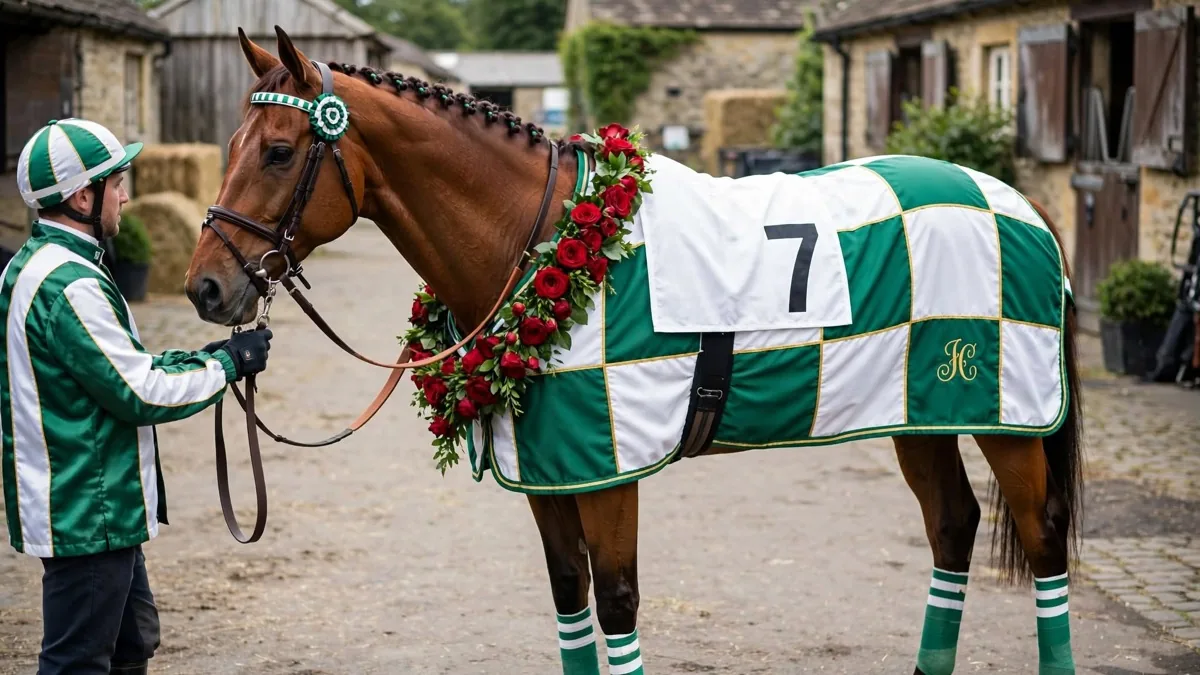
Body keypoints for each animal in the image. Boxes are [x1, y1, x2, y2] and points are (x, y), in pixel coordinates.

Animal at [183, 26, 1084, 675]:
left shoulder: (610, 467)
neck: (550, 237)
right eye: (228, 146)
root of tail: (1019, 203)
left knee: (1041, 540)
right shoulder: (550, 469)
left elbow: (616, 602)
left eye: (278, 150)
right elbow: (570, 598)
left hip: (1008, 420)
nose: (205, 288)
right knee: (953, 525)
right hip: (920, 413)